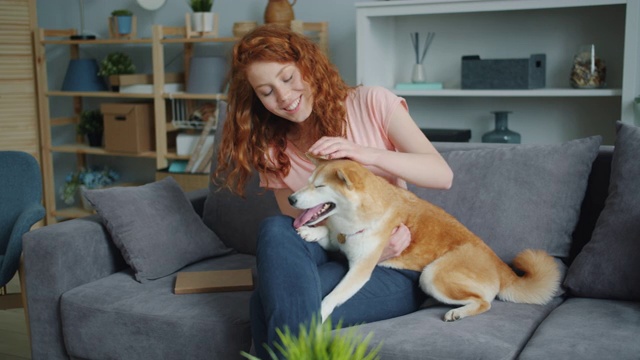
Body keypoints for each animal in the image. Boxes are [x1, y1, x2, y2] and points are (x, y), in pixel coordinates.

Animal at [290, 156, 560, 322]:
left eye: (320, 187)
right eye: (308, 182)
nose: (292, 199)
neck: (351, 220)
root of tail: (500, 265)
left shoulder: (360, 270)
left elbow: (333, 296)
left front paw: (319, 313)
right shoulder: (342, 237)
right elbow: (330, 234)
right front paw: (312, 232)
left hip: (433, 275)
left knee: (485, 302)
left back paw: (459, 312)